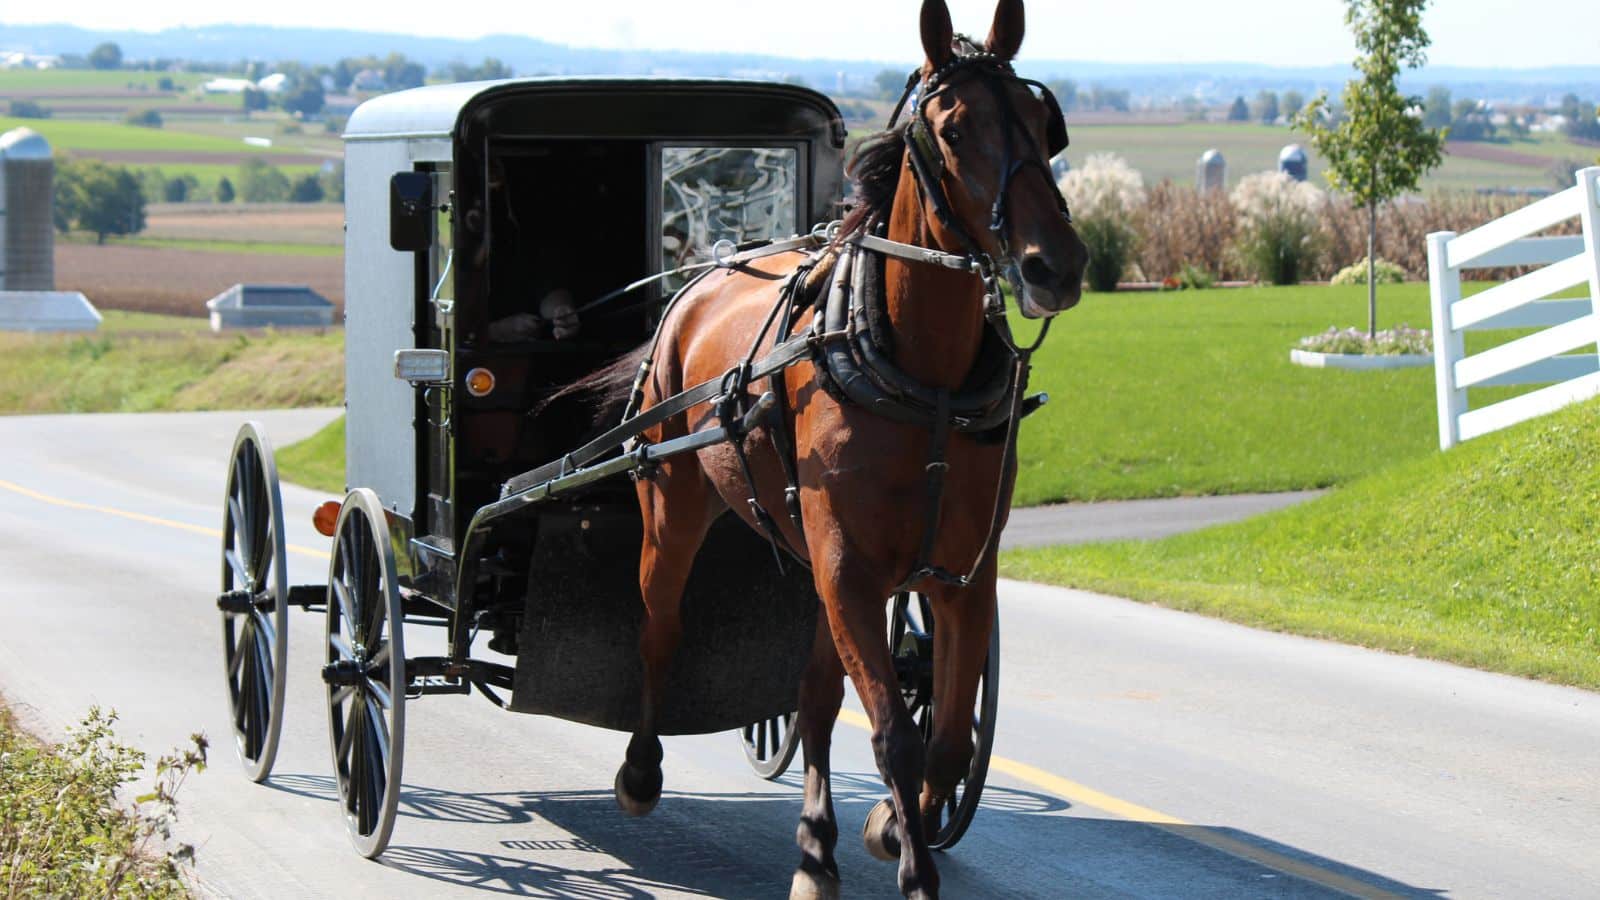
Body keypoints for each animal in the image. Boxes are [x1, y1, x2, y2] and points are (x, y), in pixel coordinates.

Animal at [604, 3, 1081, 890]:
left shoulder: (963, 576)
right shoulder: (848, 566)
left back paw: (816, 849)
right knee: (659, 625)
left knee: (819, 695)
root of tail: (700, 277)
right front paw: (916, 867)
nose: (1056, 264)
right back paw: (642, 771)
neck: (923, 377)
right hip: (675, 506)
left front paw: (894, 826)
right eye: (954, 128)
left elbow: (945, 736)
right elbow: (894, 731)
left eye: (1043, 124)